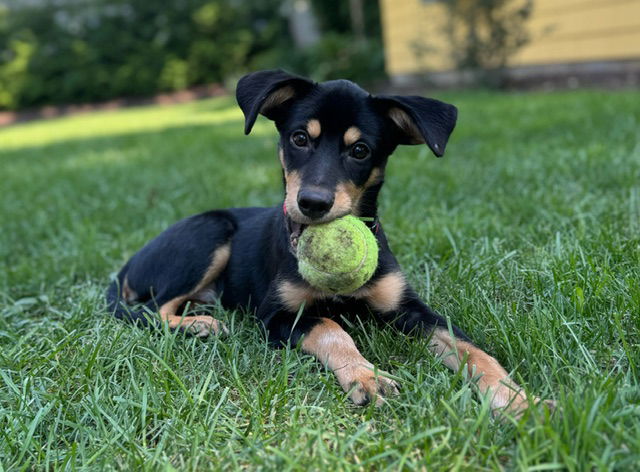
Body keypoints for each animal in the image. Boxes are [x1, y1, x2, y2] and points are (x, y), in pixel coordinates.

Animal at [107, 68, 552, 414]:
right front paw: (366, 376)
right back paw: (199, 325)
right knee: (148, 309)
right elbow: (331, 328)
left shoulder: (411, 310)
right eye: (299, 139)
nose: (313, 204)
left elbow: (474, 351)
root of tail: (130, 262)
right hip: (209, 233)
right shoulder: (278, 316)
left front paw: (517, 401)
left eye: (360, 150)